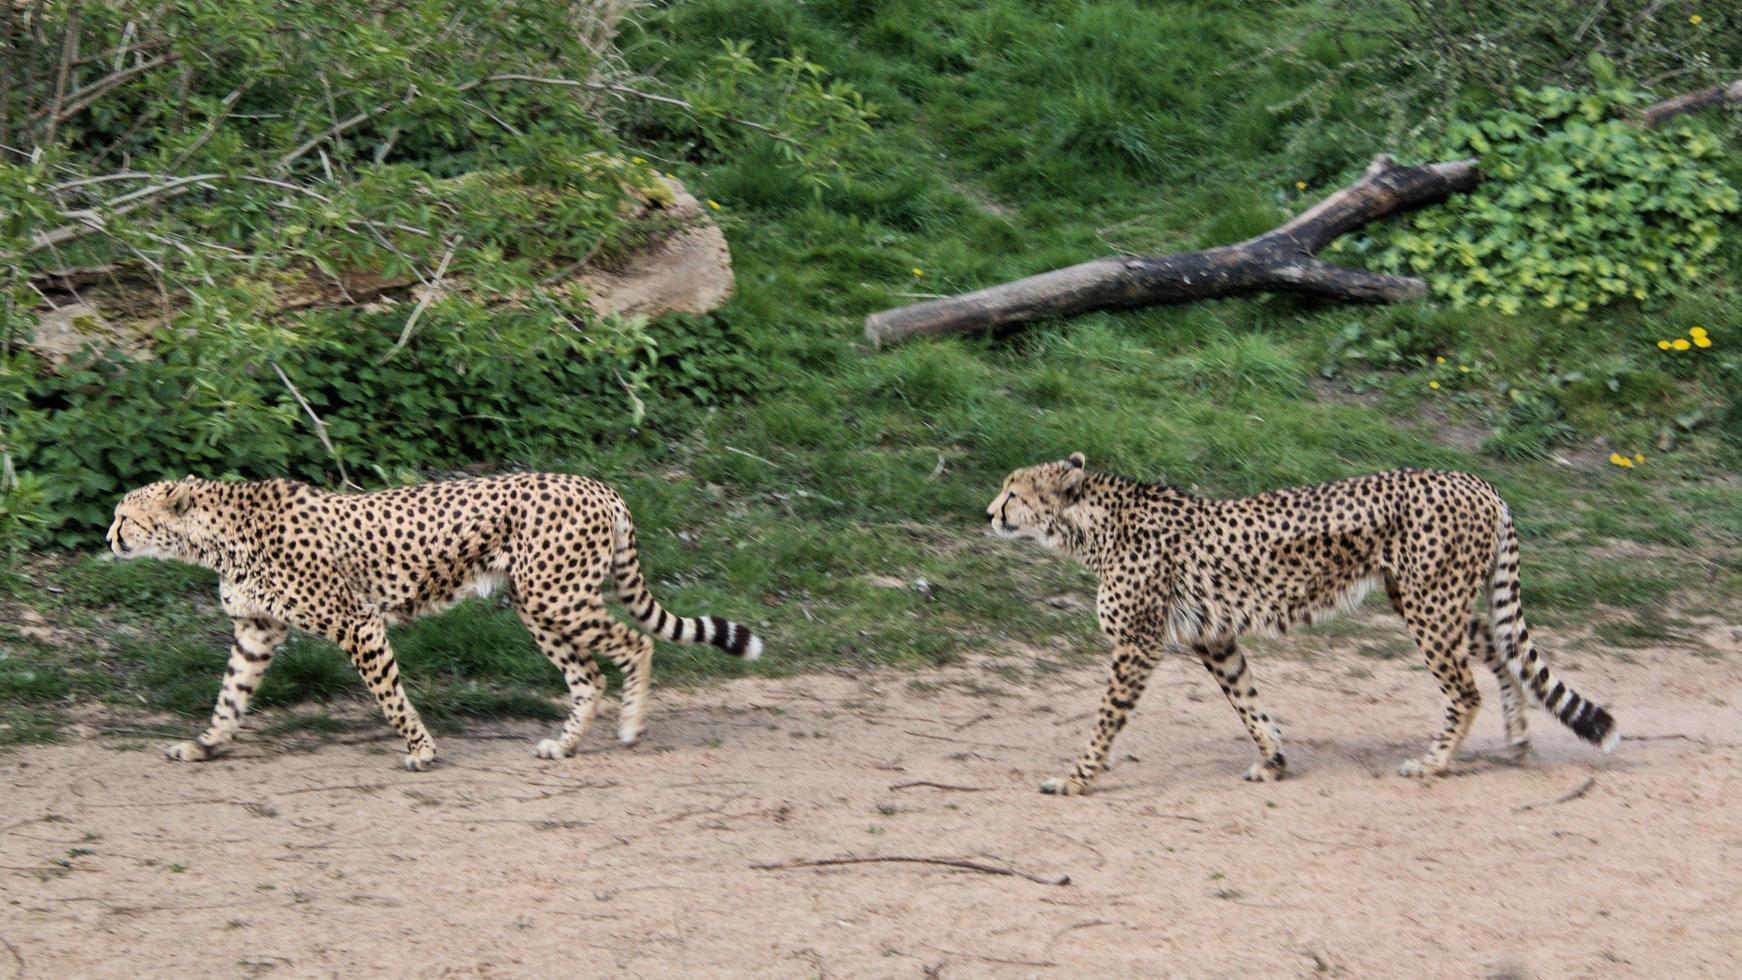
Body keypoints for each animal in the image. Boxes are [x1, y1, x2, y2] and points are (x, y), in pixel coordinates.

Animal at [108, 469, 762, 769]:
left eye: (126, 516)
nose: (108, 538)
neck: (218, 535)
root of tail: (598, 484)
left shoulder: (358, 623)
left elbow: (391, 696)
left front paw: (422, 749)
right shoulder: (256, 631)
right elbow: (230, 696)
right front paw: (205, 745)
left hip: (558, 596)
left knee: (634, 645)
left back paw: (630, 728)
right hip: (536, 602)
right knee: (589, 675)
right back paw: (564, 744)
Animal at [996, 456, 1616, 793]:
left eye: (1013, 492)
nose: (988, 512)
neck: (1092, 524)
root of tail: (1477, 481)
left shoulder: (1137, 645)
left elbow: (1105, 721)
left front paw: (1076, 778)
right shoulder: (1213, 638)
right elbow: (1248, 703)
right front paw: (1273, 760)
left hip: (1431, 607)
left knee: (1465, 690)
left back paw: (1435, 762)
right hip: (1439, 605)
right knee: (1505, 656)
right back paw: (1517, 739)